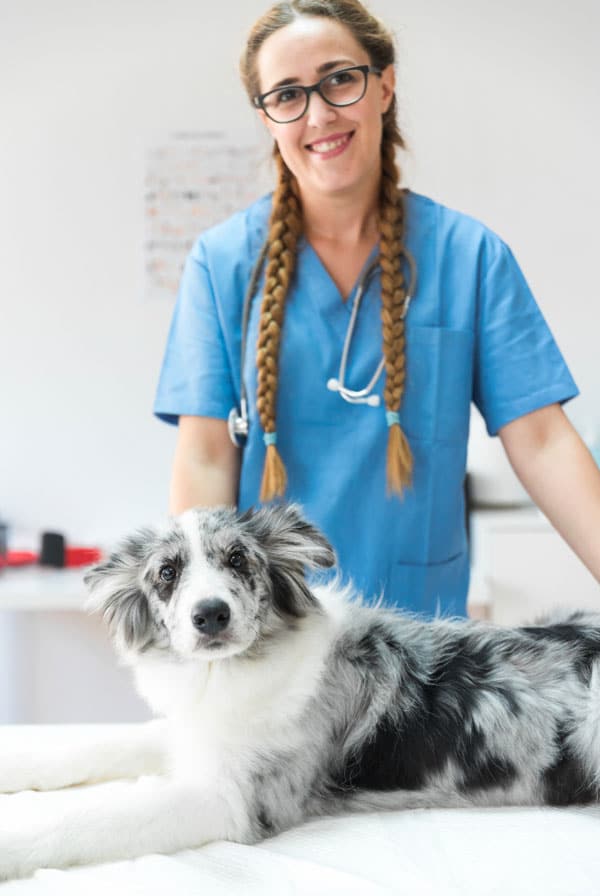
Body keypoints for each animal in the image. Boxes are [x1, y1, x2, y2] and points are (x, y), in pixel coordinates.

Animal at [1, 504, 600, 880]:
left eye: (238, 559)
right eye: (167, 573)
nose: (210, 614)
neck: (229, 672)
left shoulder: (236, 802)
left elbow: (92, 817)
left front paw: (13, 846)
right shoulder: (199, 734)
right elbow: (101, 744)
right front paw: (18, 763)